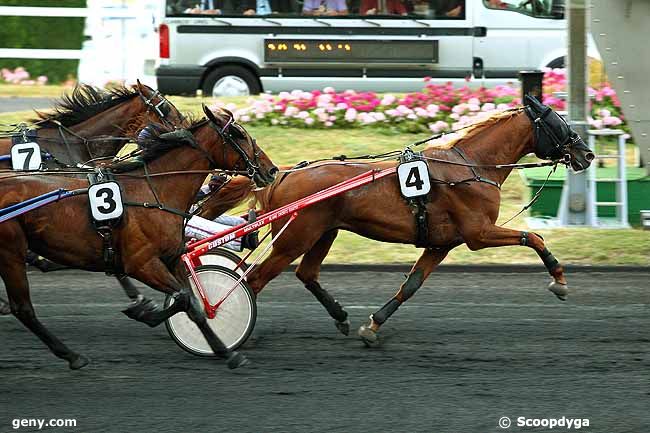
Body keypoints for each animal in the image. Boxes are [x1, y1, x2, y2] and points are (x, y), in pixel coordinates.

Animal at [0, 106, 276, 370]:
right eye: (238, 134)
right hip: (10, 252)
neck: (153, 193)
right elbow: (184, 298)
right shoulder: (141, 264)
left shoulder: (172, 259)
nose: (271, 169)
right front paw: (147, 313)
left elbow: (194, 305)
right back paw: (72, 355)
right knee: (23, 308)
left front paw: (226, 351)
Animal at [201, 97, 592, 344]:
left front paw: (373, 325)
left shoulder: (440, 243)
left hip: (323, 232)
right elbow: (534, 237)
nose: (586, 154)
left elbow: (411, 285)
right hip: (295, 237)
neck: (470, 166)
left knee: (306, 274)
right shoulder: (478, 233)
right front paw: (559, 280)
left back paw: (340, 316)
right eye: (559, 123)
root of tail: (281, 174)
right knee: (253, 280)